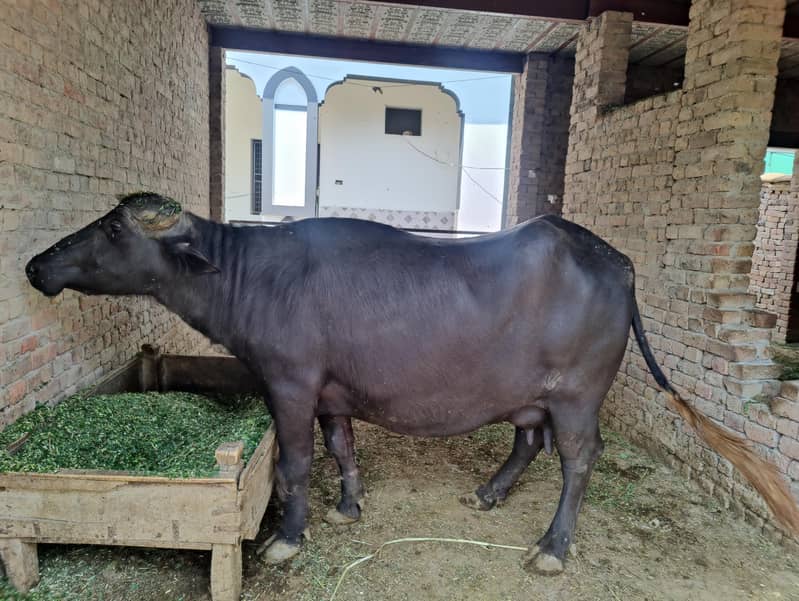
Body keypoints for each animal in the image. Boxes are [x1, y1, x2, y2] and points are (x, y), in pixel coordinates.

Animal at [25, 192, 799, 573]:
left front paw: (288, 537)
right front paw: (349, 506)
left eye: (114, 230)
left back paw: (551, 548)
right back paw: (487, 492)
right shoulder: (331, 393)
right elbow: (341, 449)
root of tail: (616, 260)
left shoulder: (290, 384)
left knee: (579, 460)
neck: (251, 275)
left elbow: (296, 465)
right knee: (528, 441)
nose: (37, 263)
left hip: (579, 395)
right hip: (530, 395)